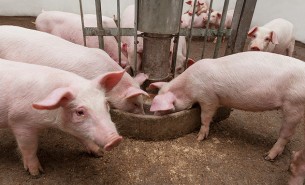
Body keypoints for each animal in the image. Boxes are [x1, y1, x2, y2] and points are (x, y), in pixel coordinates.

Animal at [148, 51, 304, 162]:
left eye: (166, 108)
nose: (153, 115)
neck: (189, 86)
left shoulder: (209, 98)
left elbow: (205, 117)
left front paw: (199, 138)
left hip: (294, 106)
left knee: (286, 134)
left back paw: (267, 157)